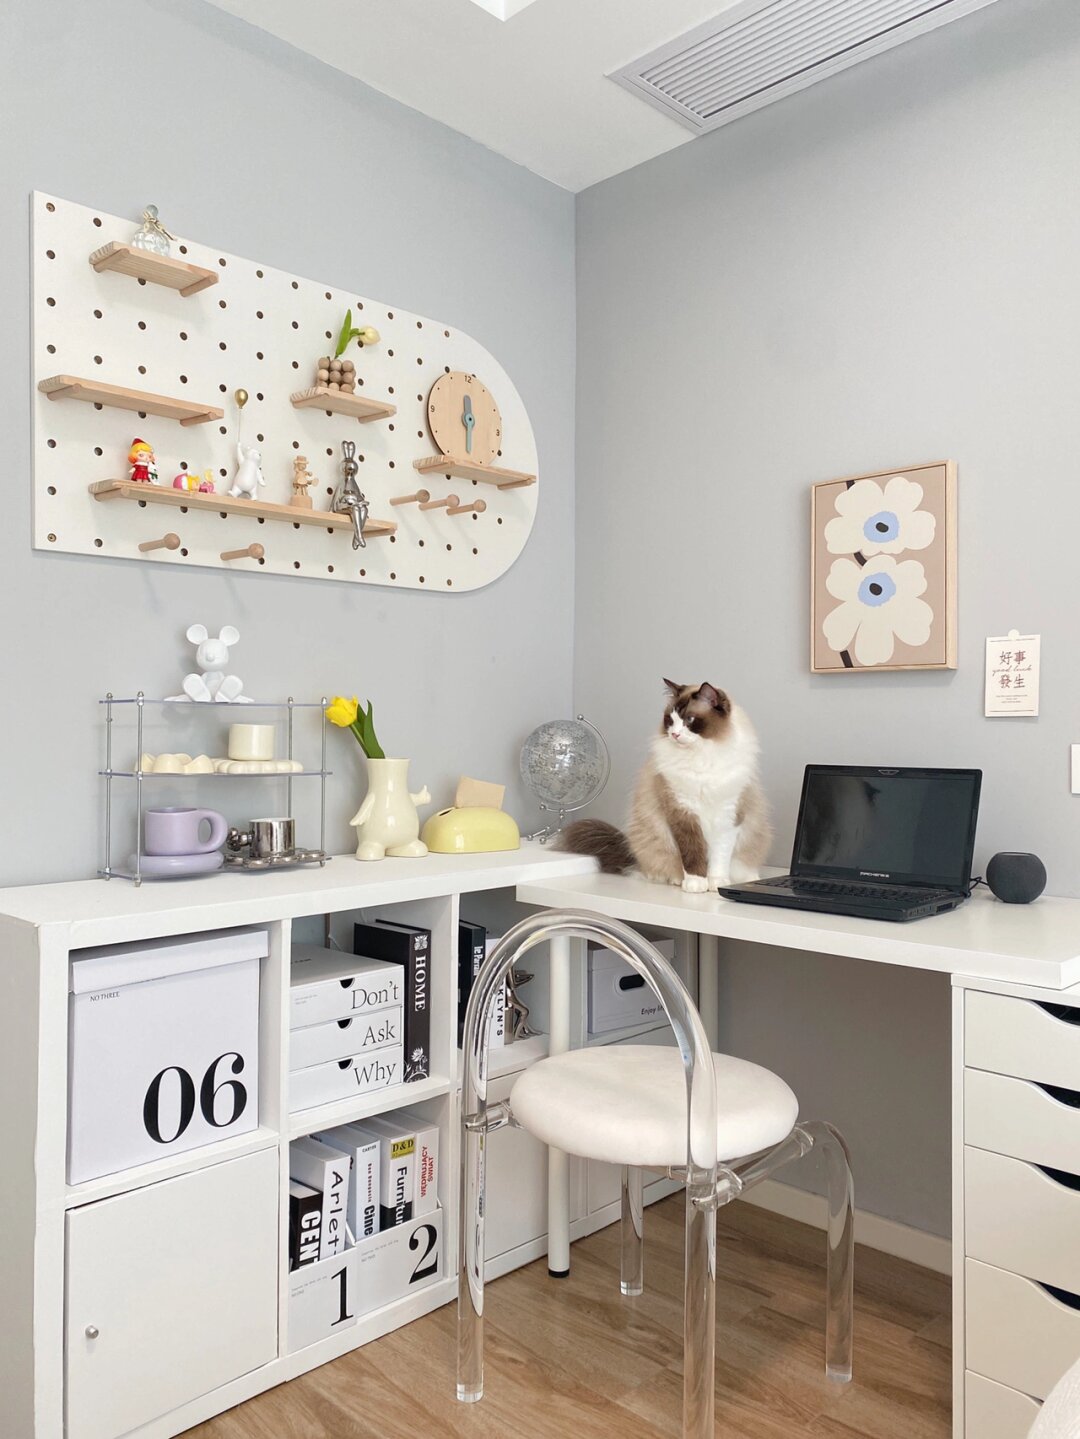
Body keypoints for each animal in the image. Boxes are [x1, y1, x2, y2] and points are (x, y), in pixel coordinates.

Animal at [559, 680, 771, 893]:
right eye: (670, 719)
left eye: (689, 719)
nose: (675, 734)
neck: (701, 757)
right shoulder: (682, 813)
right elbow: (692, 854)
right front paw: (696, 884)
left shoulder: (728, 816)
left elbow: (720, 858)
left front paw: (716, 883)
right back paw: (676, 880)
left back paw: (745, 878)